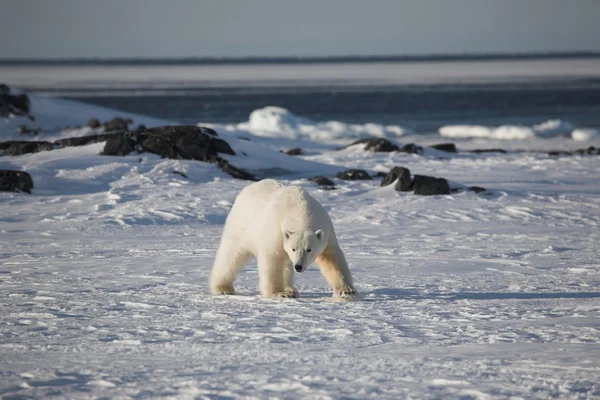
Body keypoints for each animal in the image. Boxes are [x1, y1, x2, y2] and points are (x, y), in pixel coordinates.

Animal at [210, 180, 356, 298]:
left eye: (309, 249)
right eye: (294, 248)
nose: (298, 266)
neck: (300, 210)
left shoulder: (326, 229)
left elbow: (331, 259)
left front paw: (346, 290)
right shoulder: (276, 230)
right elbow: (272, 259)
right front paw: (279, 293)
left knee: (286, 264)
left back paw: (291, 289)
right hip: (241, 227)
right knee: (231, 255)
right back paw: (222, 288)